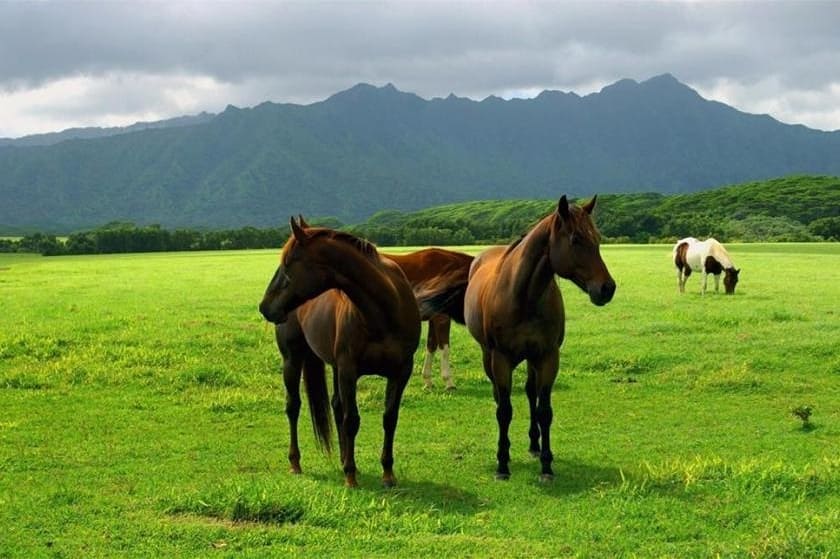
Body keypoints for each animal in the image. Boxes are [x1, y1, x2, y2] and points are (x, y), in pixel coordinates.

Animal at [260, 219, 430, 490]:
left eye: (288, 264)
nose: (265, 307)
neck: (384, 310)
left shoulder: (400, 371)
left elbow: (389, 418)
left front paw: (387, 473)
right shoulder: (349, 370)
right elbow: (352, 420)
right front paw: (351, 475)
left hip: (334, 366)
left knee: (336, 407)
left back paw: (342, 458)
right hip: (292, 360)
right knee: (293, 406)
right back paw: (296, 462)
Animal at [386, 248, 476, 390]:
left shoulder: (433, 319)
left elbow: (431, 346)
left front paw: (427, 380)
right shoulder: (442, 318)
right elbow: (444, 348)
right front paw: (448, 382)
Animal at [462, 196, 612, 482]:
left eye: (597, 238)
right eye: (576, 239)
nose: (607, 288)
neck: (523, 296)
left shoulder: (547, 356)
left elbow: (544, 411)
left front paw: (546, 464)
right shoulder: (501, 359)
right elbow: (504, 410)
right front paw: (502, 464)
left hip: (531, 359)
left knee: (531, 393)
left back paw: (534, 444)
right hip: (489, 356)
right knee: (499, 397)